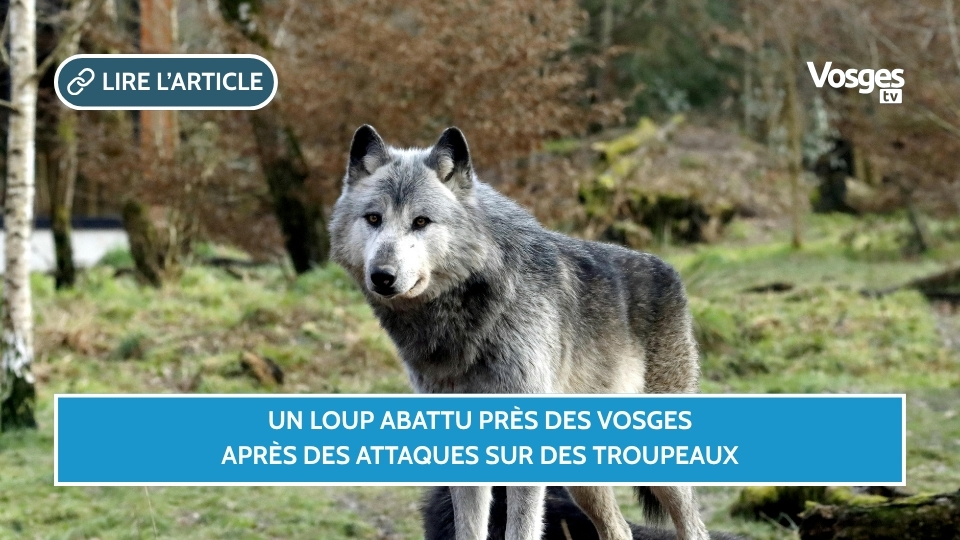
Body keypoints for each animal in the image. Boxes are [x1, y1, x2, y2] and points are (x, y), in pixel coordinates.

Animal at [329, 125, 709, 540]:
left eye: (421, 222)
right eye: (373, 218)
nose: (382, 276)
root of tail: (670, 270)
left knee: (695, 528)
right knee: (619, 530)